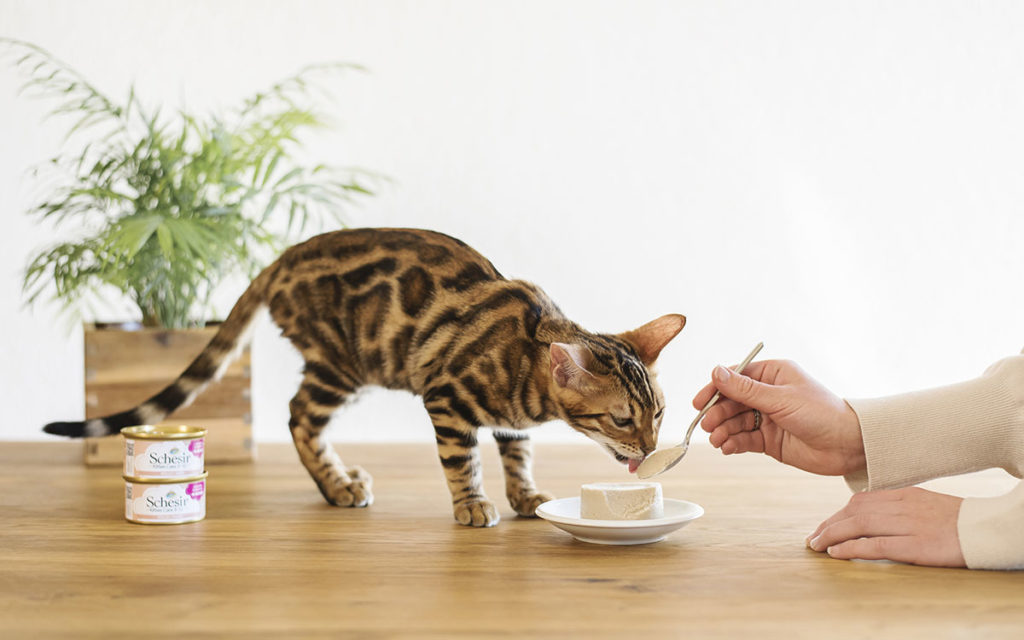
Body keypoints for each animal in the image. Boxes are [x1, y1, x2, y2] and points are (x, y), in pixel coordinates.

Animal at [48, 227, 688, 528]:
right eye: (622, 420)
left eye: (659, 414)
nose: (650, 449)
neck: (525, 369)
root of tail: (279, 260)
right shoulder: (446, 398)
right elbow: (465, 461)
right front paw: (473, 504)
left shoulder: (509, 417)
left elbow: (517, 451)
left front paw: (526, 494)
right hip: (342, 366)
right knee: (297, 418)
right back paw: (337, 486)